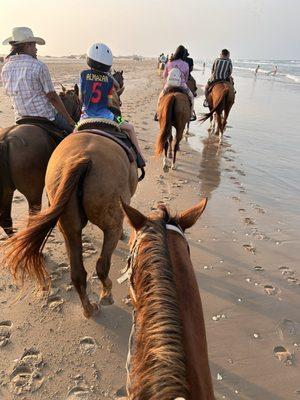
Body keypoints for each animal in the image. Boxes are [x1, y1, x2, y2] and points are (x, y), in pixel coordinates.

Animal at [0, 84, 81, 234]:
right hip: (33, 191)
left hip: (6, 191)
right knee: (32, 217)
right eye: (80, 103)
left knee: (6, 220)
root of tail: (6, 140)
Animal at [2, 131, 138, 318]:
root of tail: (84, 159)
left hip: (68, 225)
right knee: (102, 265)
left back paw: (88, 309)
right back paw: (106, 296)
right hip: (111, 224)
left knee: (77, 274)